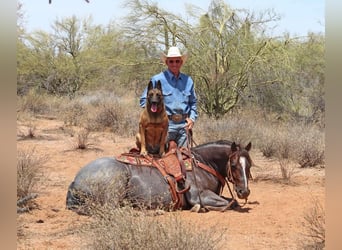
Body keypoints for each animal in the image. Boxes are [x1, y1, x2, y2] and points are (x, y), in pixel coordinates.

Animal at [67, 140, 252, 214]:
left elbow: (230, 201)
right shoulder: (200, 196)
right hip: (116, 184)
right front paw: (199, 208)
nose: (244, 192)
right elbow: (230, 203)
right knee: (111, 209)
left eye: (249, 165)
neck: (202, 162)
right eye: (234, 165)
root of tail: (75, 180)